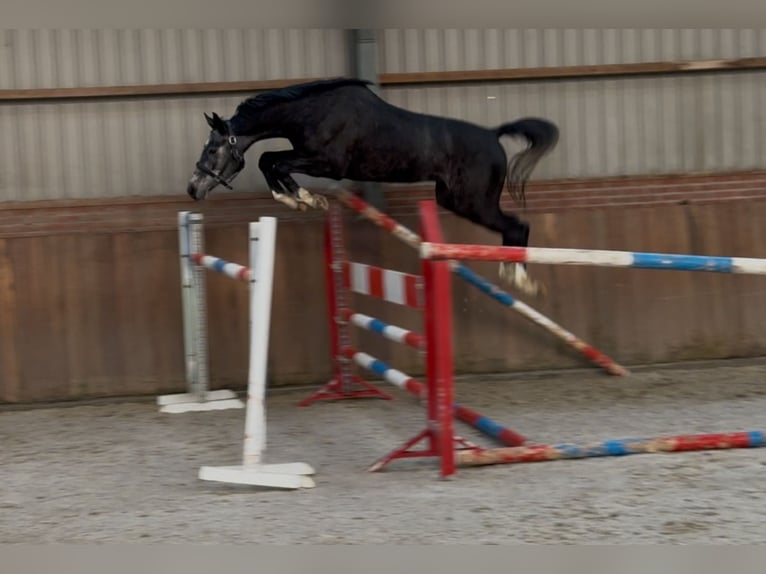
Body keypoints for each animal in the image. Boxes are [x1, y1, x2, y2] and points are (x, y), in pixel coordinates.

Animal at [187, 77, 559, 297]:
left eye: (212, 149)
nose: (193, 188)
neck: (310, 111)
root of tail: (493, 135)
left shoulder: (328, 163)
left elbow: (273, 161)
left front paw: (305, 198)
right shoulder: (307, 156)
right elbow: (269, 160)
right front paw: (297, 199)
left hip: (473, 202)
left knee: (518, 226)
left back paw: (520, 279)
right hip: (452, 199)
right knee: (512, 227)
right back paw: (512, 273)